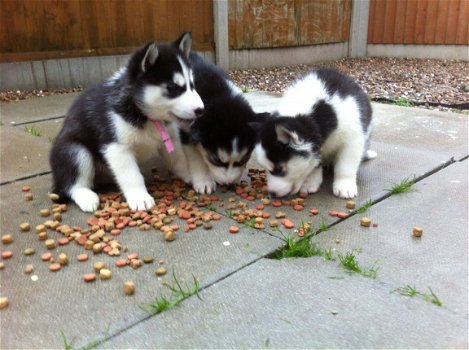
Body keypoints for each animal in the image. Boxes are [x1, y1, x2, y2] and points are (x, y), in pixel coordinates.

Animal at [50, 33, 203, 213]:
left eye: (192, 85)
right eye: (173, 87)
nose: (201, 110)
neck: (144, 114)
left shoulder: (170, 138)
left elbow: (179, 159)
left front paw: (196, 176)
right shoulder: (116, 148)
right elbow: (132, 175)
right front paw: (140, 196)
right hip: (75, 151)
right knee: (72, 184)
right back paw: (86, 197)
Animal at [179, 53, 266, 193]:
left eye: (244, 160)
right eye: (216, 160)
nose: (229, 183)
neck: (219, 95)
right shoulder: (185, 130)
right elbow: (196, 157)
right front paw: (204, 181)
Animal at [254, 67, 374, 200]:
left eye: (279, 169)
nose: (272, 194)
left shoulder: (352, 139)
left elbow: (346, 166)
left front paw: (344, 185)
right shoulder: (317, 145)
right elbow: (314, 164)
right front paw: (310, 182)